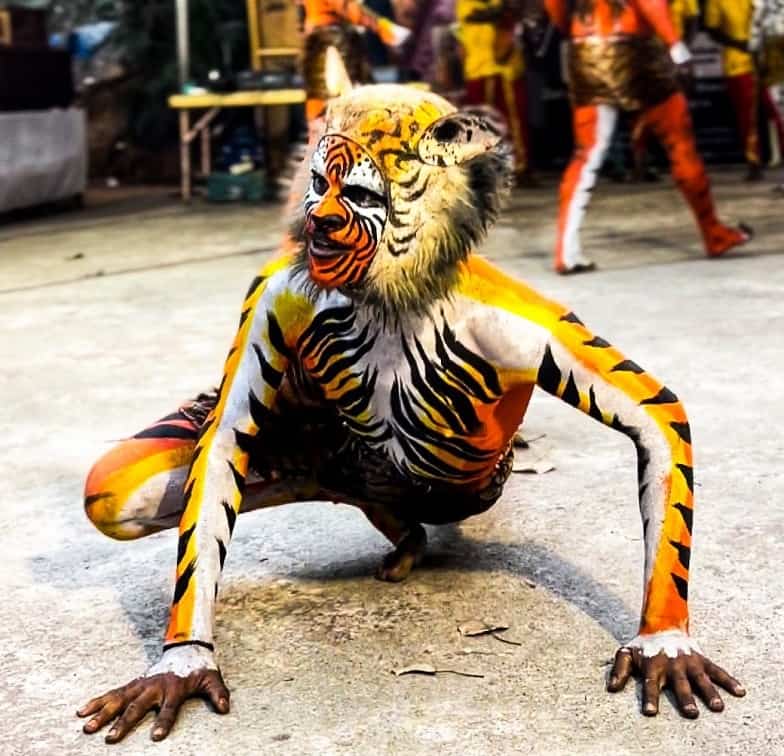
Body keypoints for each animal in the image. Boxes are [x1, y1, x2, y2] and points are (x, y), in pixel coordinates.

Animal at [78, 49, 745, 743]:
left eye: (359, 194)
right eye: (317, 183)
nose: (317, 222)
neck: (389, 298)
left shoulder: (521, 328)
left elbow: (656, 416)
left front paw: (663, 643)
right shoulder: (271, 295)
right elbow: (224, 442)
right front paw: (182, 662)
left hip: (465, 486)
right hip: (333, 459)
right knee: (125, 488)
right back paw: (397, 532)